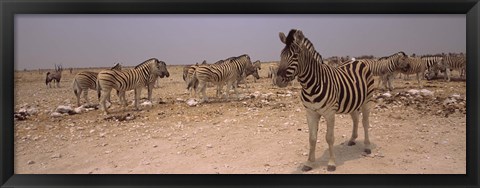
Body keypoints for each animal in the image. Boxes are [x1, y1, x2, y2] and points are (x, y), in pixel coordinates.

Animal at [278, 29, 376, 172]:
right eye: (281, 55)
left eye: (295, 56)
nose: (278, 79)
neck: (311, 85)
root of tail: (357, 60)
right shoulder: (310, 113)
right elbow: (312, 138)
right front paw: (309, 163)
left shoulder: (330, 113)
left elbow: (329, 138)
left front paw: (331, 163)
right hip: (353, 101)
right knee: (355, 118)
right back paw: (352, 139)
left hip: (367, 100)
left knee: (365, 122)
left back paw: (367, 147)